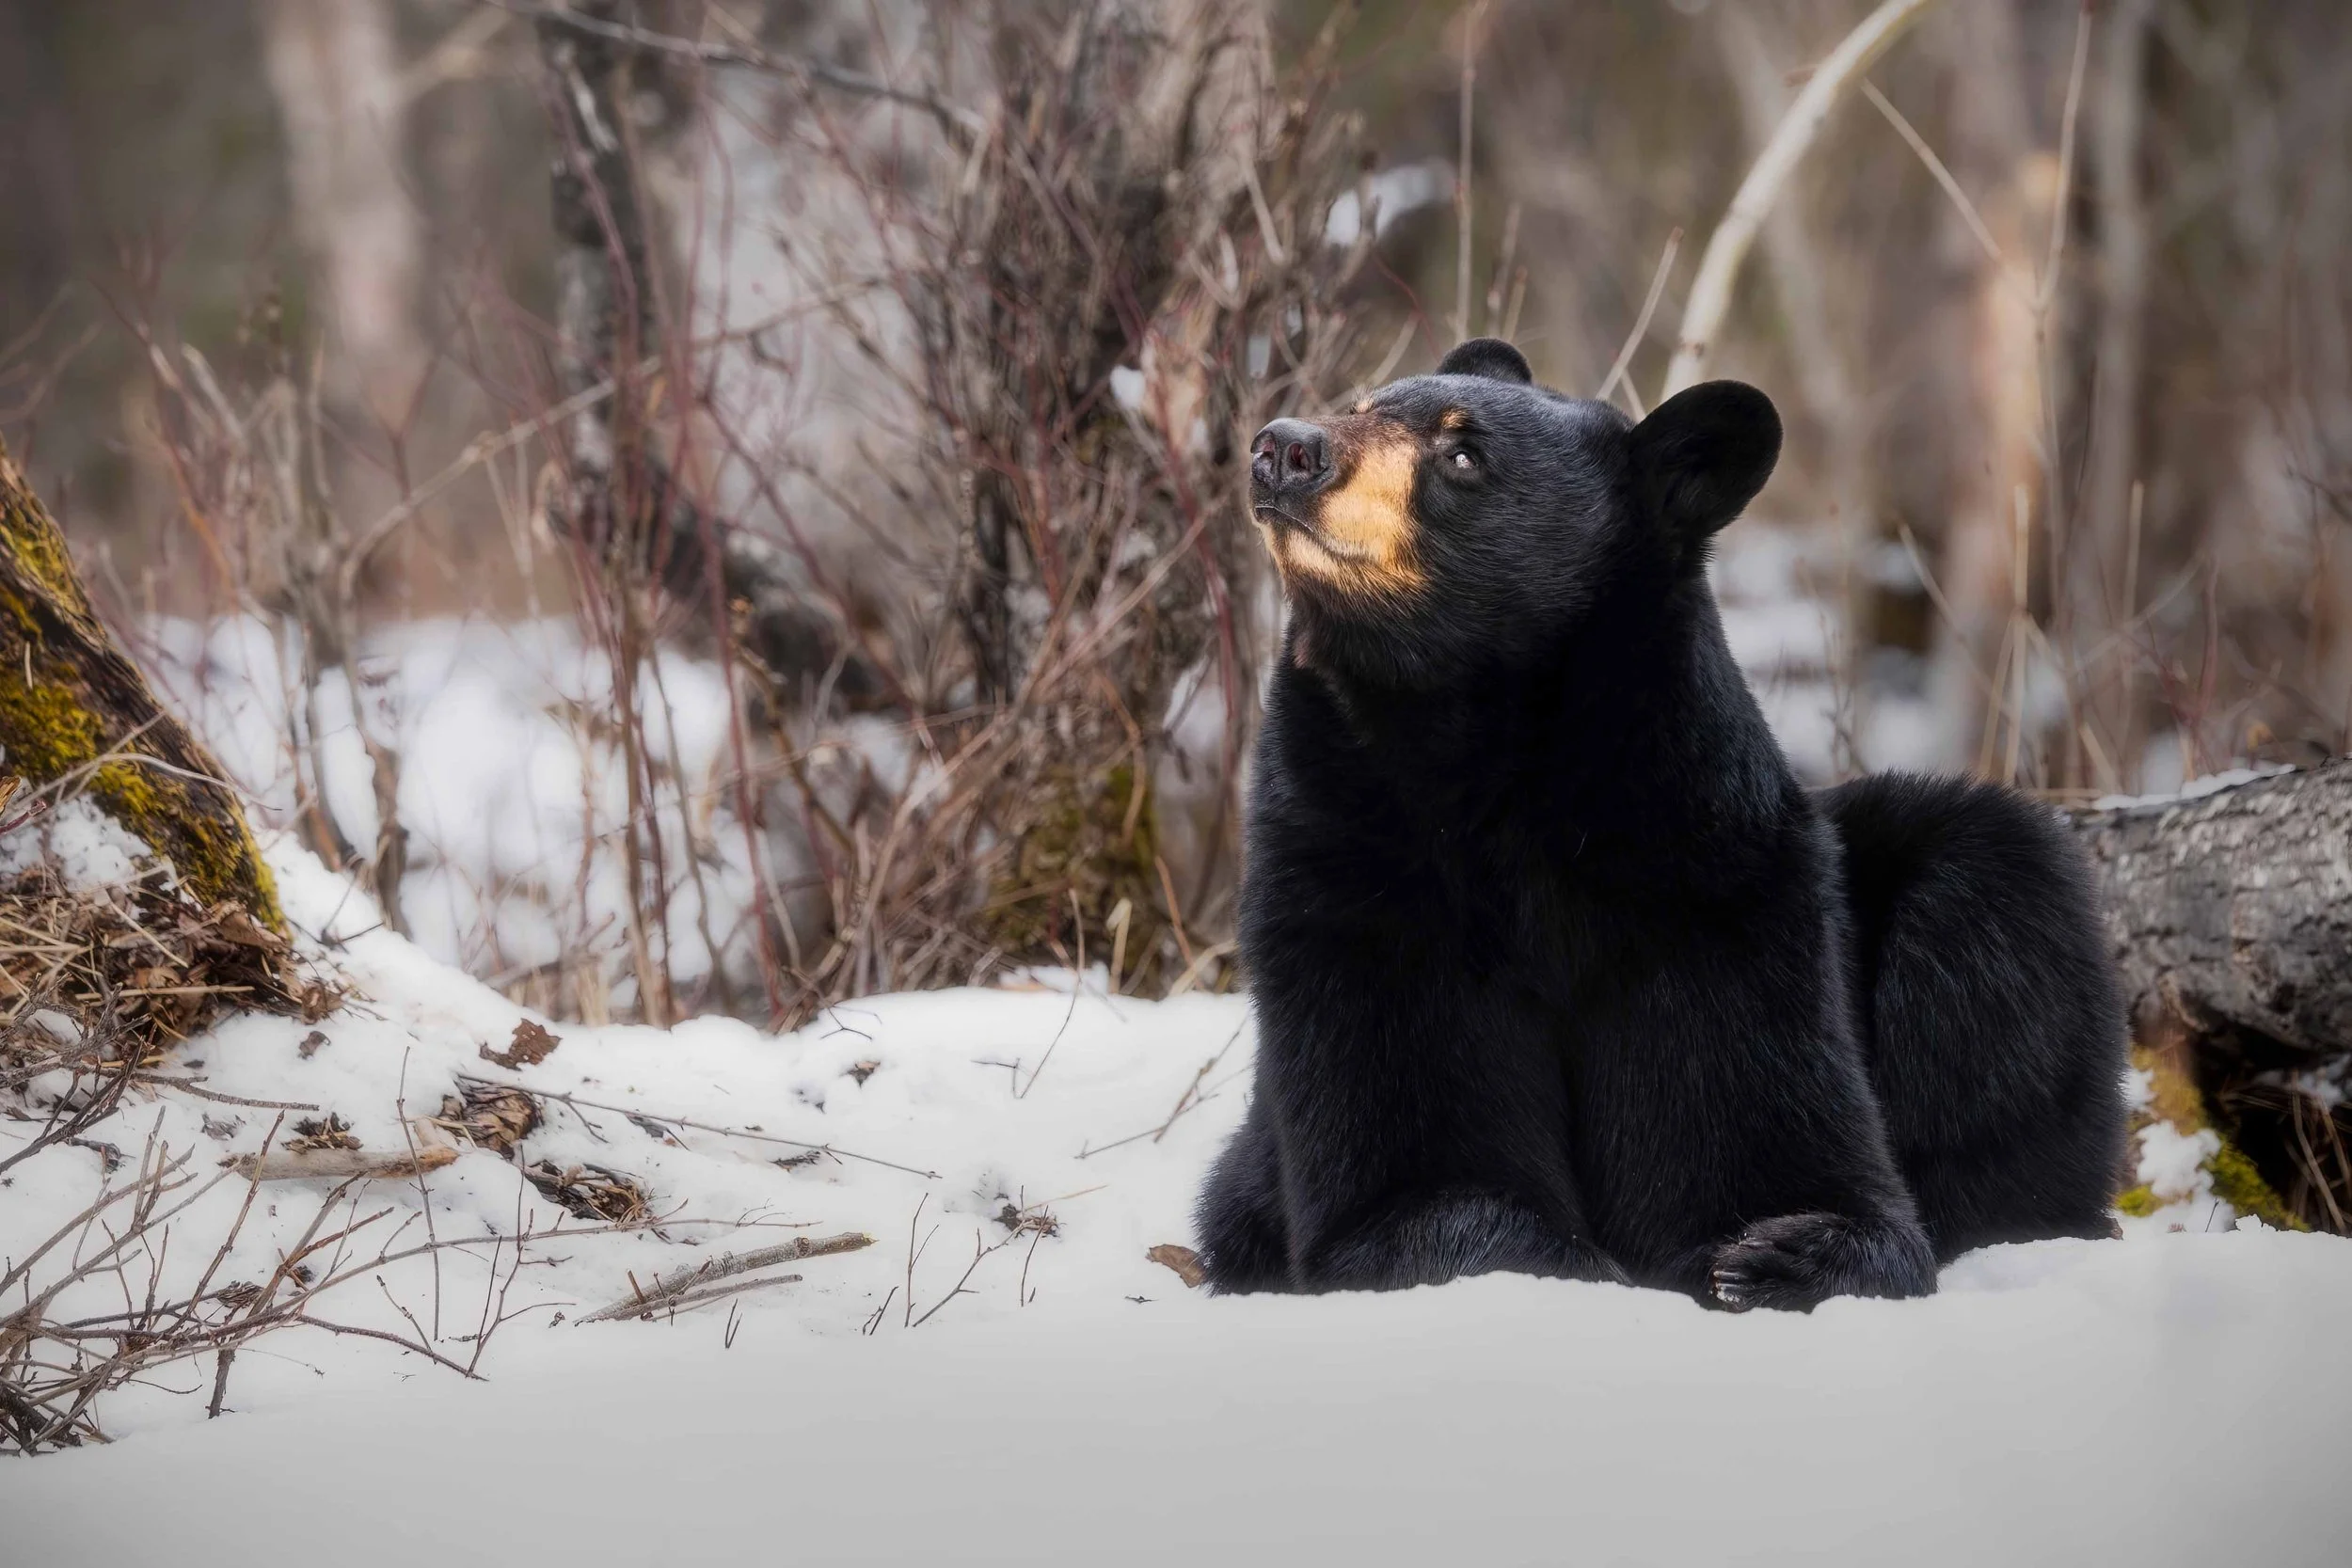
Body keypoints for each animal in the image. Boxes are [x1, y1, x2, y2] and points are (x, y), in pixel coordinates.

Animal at [1194, 337, 2128, 1311]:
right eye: (1359, 403)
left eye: (1462, 455)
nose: (1285, 447)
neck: (1493, 764)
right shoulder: (1353, 886)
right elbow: (1402, 1170)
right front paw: (1552, 1256)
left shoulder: (1706, 881)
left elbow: (1760, 1129)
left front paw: (1778, 1248)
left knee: (1996, 897)